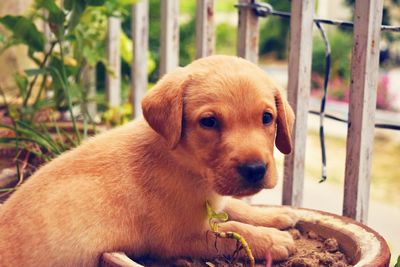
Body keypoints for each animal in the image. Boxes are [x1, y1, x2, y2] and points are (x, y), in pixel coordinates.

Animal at [0, 55, 296, 266]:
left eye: (267, 117)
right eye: (209, 122)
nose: (255, 169)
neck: (182, 160)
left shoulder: (212, 202)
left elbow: (236, 206)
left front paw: (275, 215)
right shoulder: (182, 236)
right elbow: (232, 230)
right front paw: (272, 239)